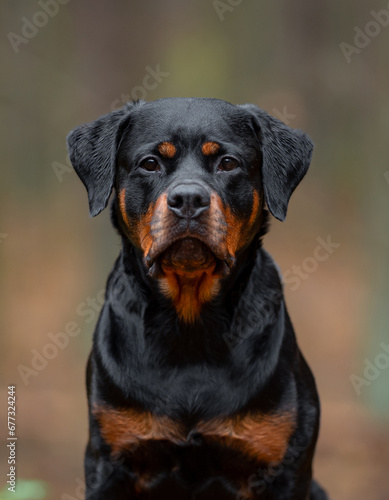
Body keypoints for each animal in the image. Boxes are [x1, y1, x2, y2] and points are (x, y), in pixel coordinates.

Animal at [66, 97, 328, 500]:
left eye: (228, 162)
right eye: (150, 163)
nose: (188, 198)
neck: (190, 325)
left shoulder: (283, 469)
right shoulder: (109, 462)